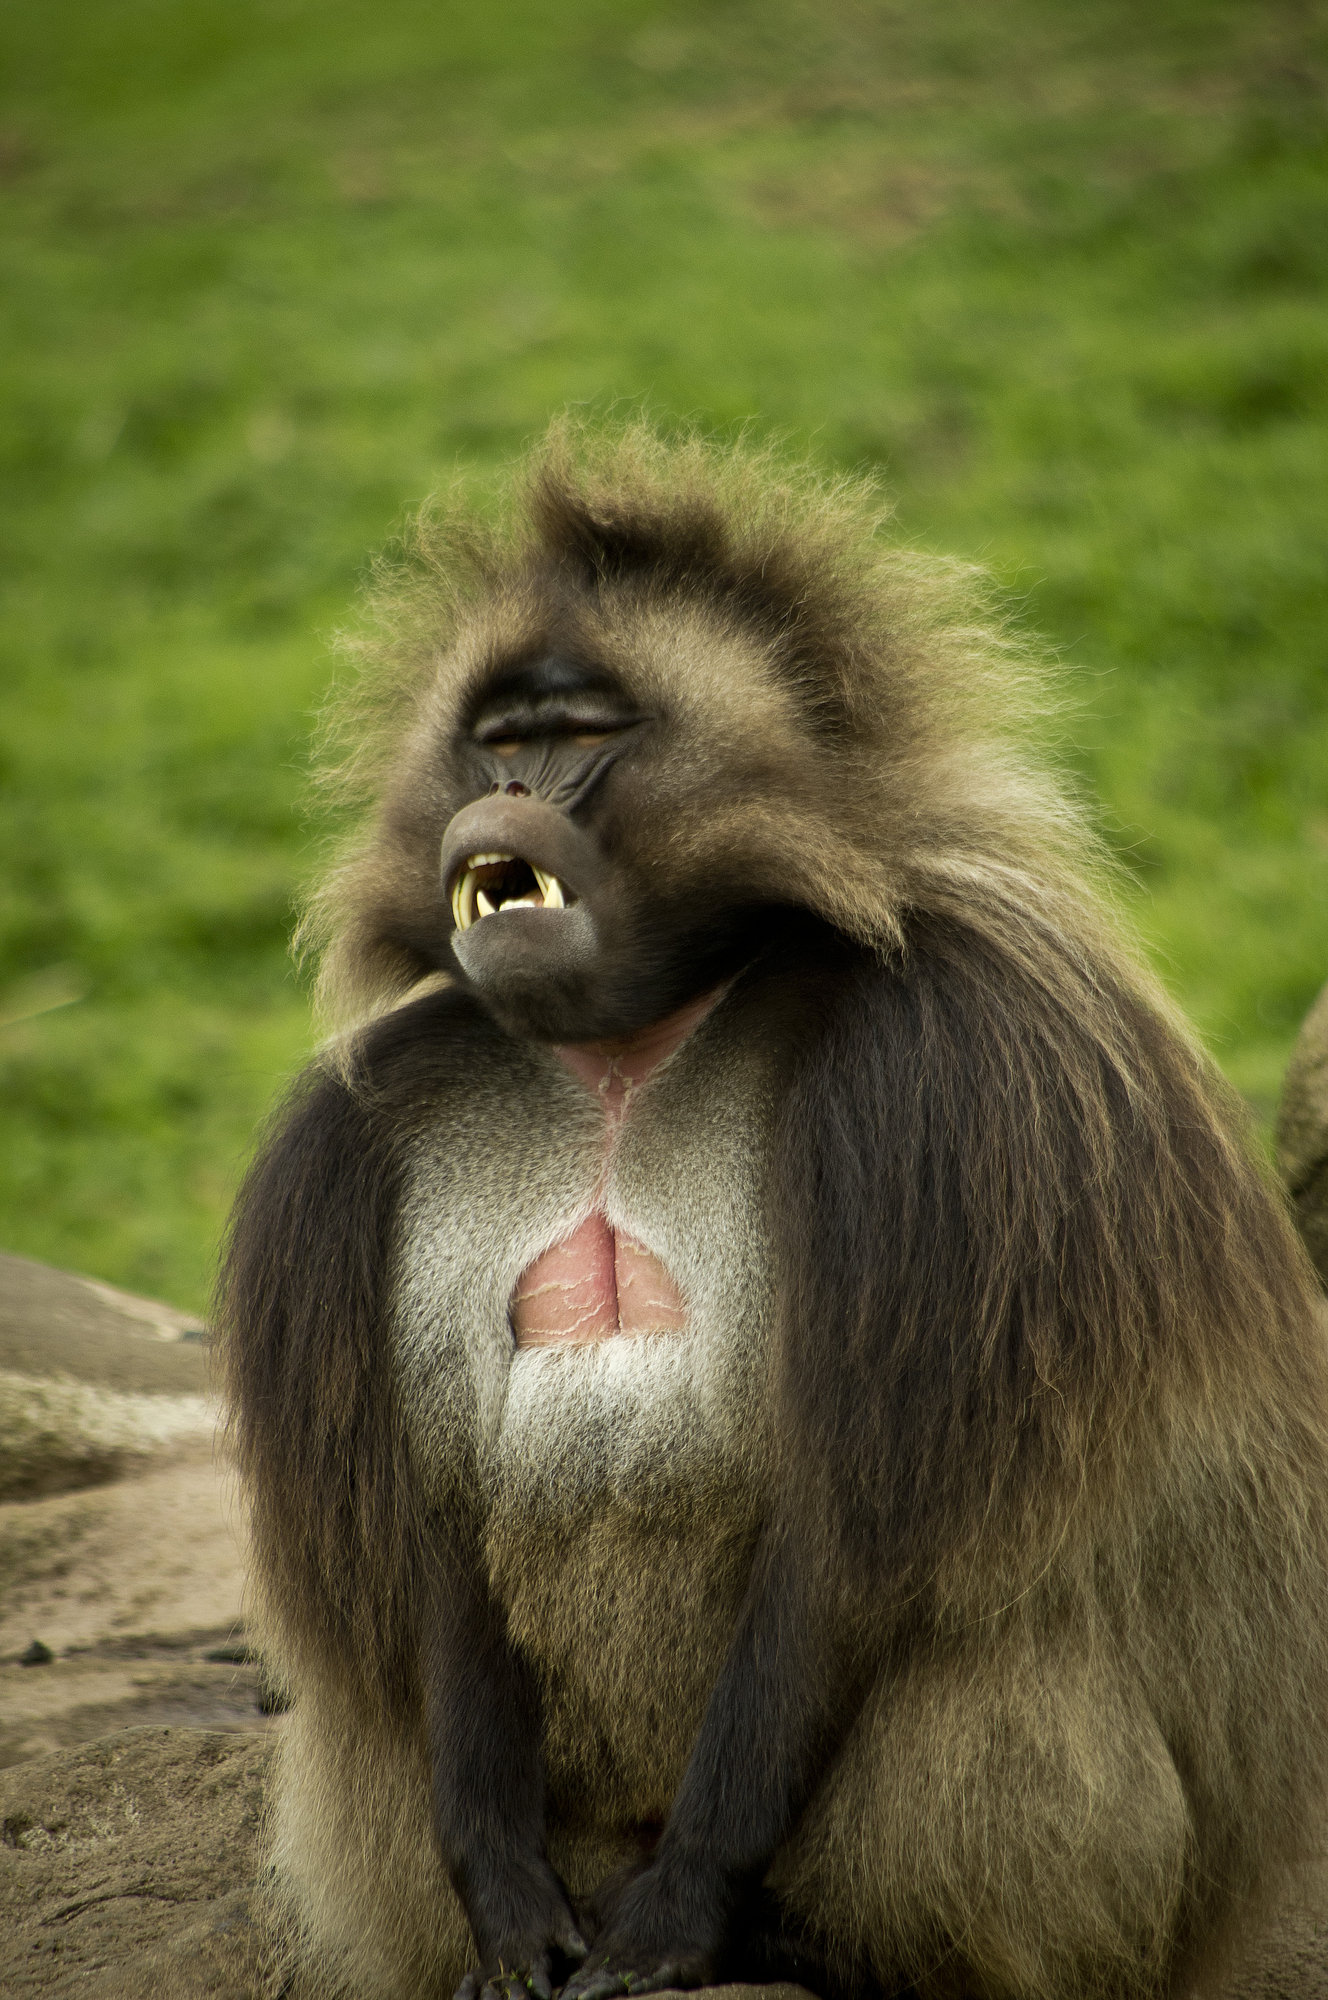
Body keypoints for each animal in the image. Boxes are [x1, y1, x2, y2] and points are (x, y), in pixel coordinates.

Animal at [219, 421, 1328, 2000]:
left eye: (585, 732)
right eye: (499, 738)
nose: (506, 802)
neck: (626, 1043)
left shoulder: (948, 1077)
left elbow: (844, 1532)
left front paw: (686, 1917)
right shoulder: (356, 1145)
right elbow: (433, 1528)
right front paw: (504, 1914)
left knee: (1002, 1691)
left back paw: (814, 1944)